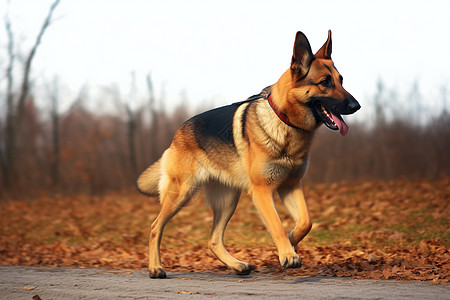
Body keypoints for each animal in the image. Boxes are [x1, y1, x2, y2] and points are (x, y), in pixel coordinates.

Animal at [135, 30, 360, 278]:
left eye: (341, 80)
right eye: (324, 83)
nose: (356, 106)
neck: (284, 121)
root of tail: (177, 134)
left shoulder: (290, 186)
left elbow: (305, 222)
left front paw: (291, 241)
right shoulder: (262, 191)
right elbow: (277, 224)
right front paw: (288, 253)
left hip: (228, 201)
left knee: (213, 240)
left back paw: (236, 265)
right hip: (181, 193)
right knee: (155, 227)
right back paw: (156, 268)